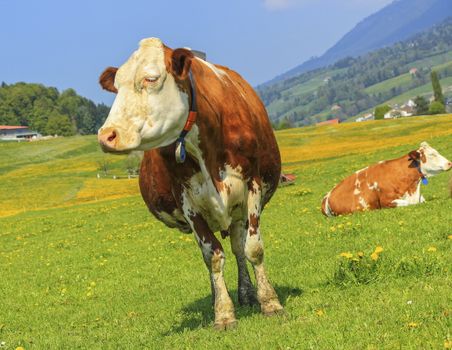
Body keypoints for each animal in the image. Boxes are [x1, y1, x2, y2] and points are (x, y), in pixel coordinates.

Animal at [97, 37, 284, 328]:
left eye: (151, 78)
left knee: (238, 248)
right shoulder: (187, 200)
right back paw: (218, 296)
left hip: (238, 212)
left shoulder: (252, 183)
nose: (107, 135)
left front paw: (270, 302)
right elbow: (212, 256)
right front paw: (223, 313)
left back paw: (247, 293)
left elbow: (253, 249)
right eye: (116, 86)